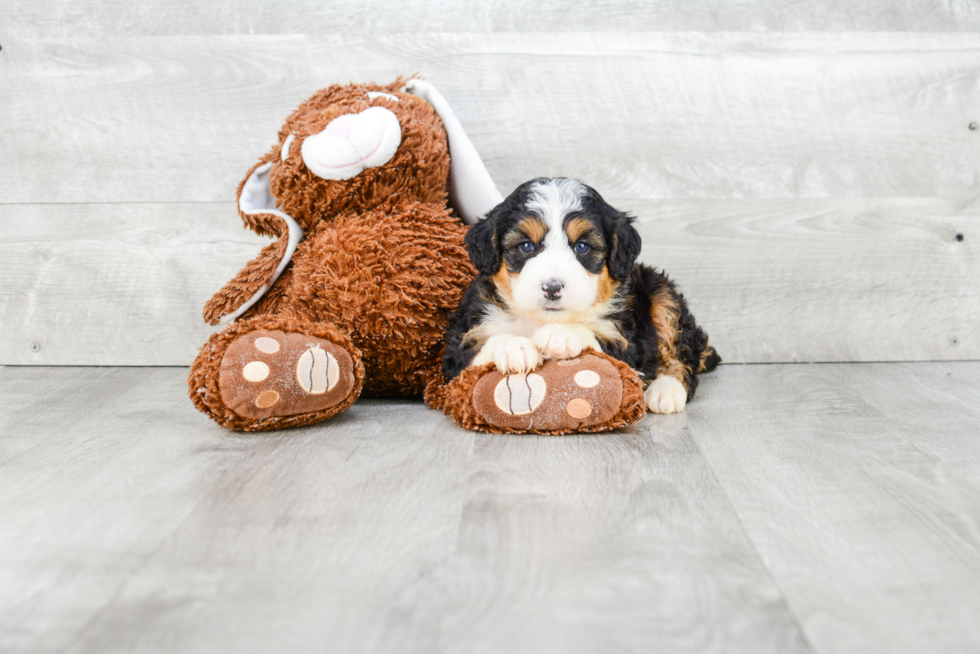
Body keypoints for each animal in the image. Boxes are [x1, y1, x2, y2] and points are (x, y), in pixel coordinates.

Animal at [444, 178, 720, 416]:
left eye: (582, 247)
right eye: (526, 246)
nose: (552, 288)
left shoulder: (628, 344)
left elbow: (596, 336)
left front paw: (560, 334)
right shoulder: (457, 350)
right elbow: (477, 348)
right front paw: (514, 347)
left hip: (663, 295)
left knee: (681, 355)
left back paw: (666, 391)